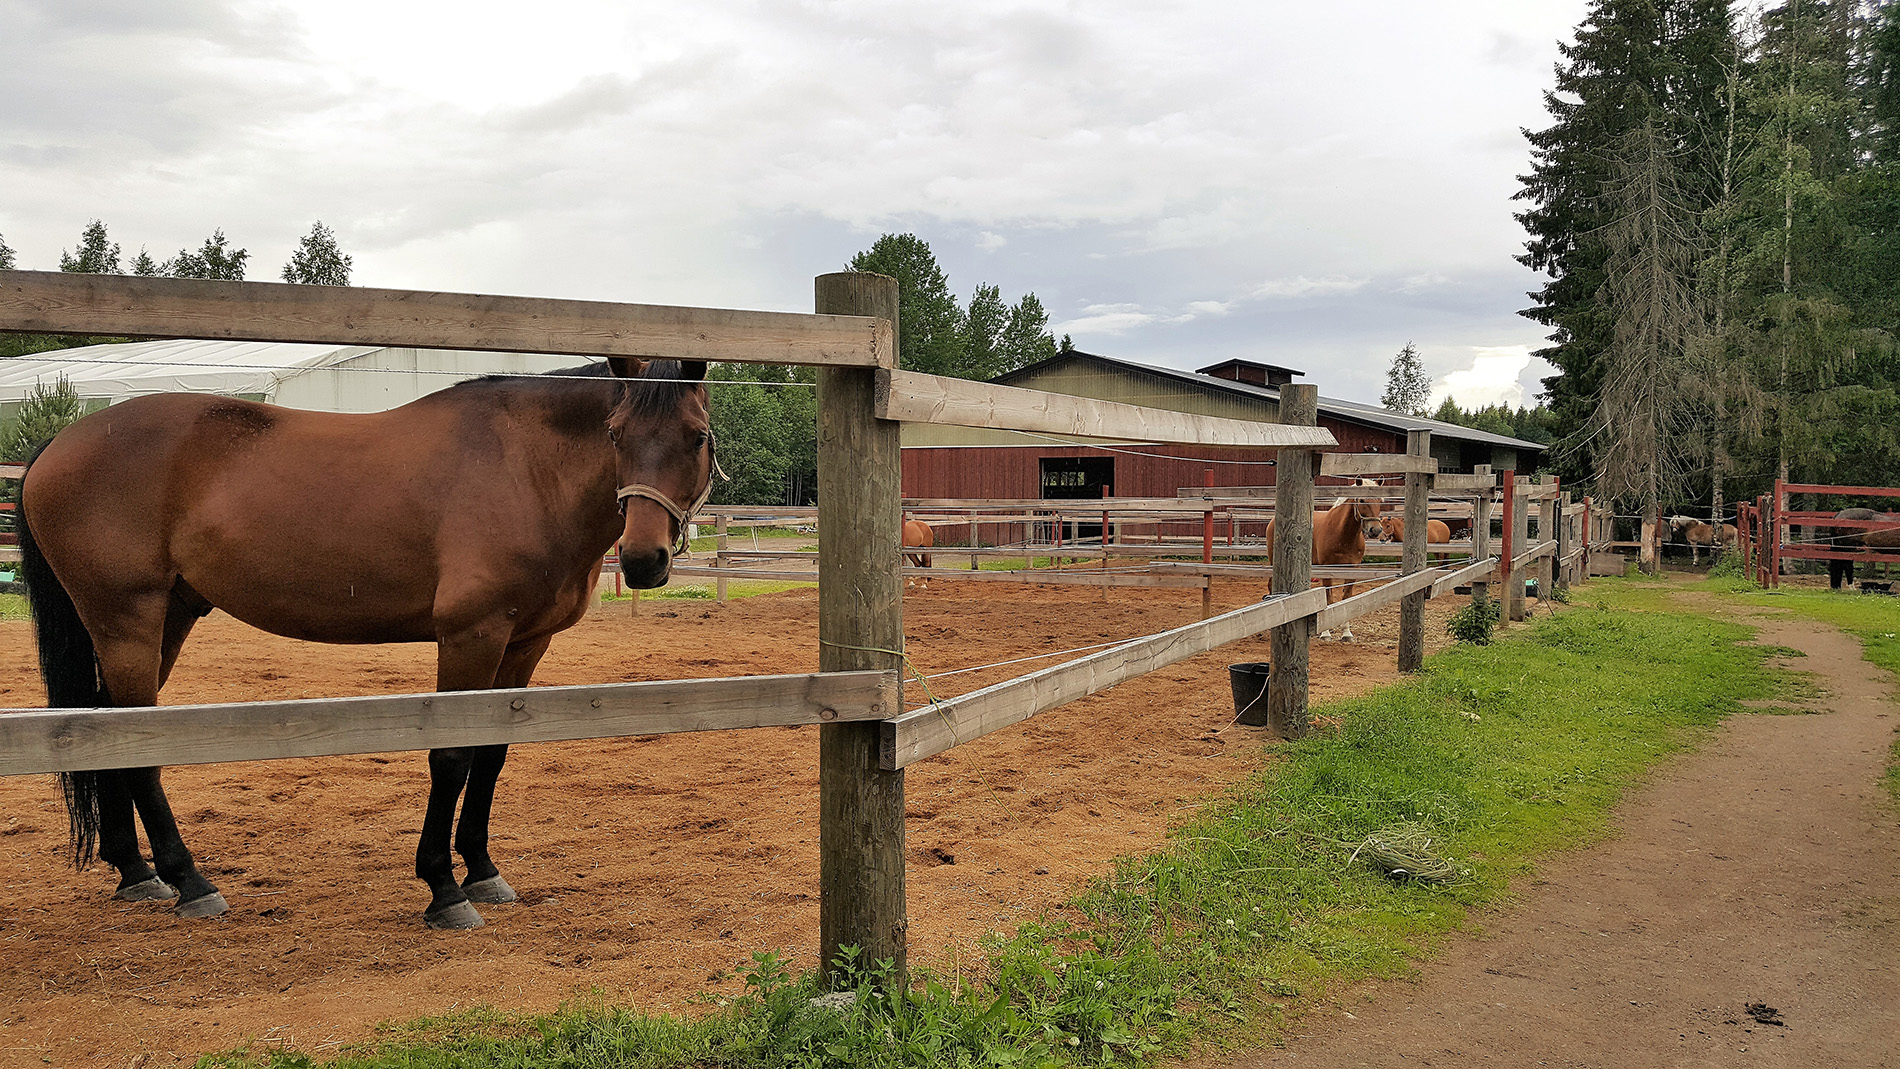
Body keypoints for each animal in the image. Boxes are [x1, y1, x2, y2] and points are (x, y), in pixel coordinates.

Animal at [18, 358, 714, 930]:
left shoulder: (524, 643)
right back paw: (190, 881)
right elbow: (452, 757)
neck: (525, 467)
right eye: (616, 434)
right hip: (126, 621)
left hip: (167, 619)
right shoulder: (472, 635)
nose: (643, 559)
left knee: (108, 730)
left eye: (697, 437)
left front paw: (482, 871)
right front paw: (443, 888)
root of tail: (60, 442)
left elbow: (491, 754)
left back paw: (136, 872)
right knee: (137, 746)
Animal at [1261, 497, 1383, 645]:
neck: (1342, 534)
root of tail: (1273, 521)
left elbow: (1346, 599)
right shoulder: (1326, 570)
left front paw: (1346, 633)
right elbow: (1328, 599)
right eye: (1361, 500)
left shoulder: (1353, 570)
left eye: (1380, 500)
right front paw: (1325, 633)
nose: (1375, 530)